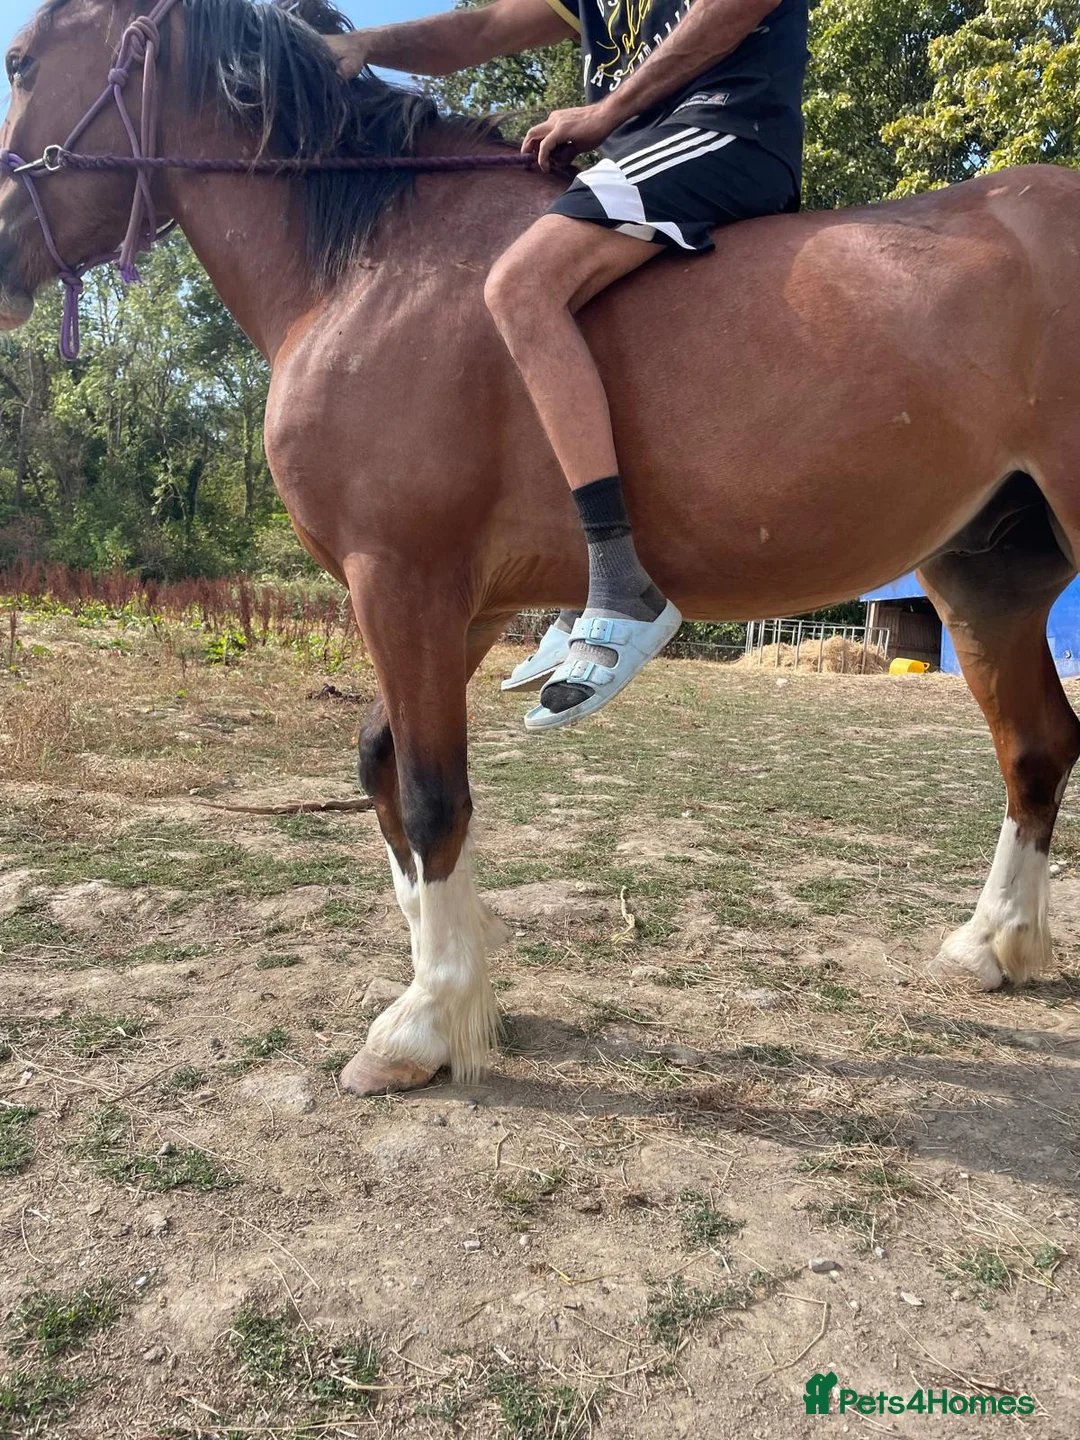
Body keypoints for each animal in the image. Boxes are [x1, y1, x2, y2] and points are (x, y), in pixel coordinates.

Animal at [3, 0, 1079, 1097]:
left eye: (23, 60)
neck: (377, 264)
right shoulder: (461, 602)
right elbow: (384, 768)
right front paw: (459, 985)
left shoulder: (402, 580)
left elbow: (430, 797)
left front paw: (424, 1022)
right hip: (983, 578)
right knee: (1037, 747)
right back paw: (992, 945)